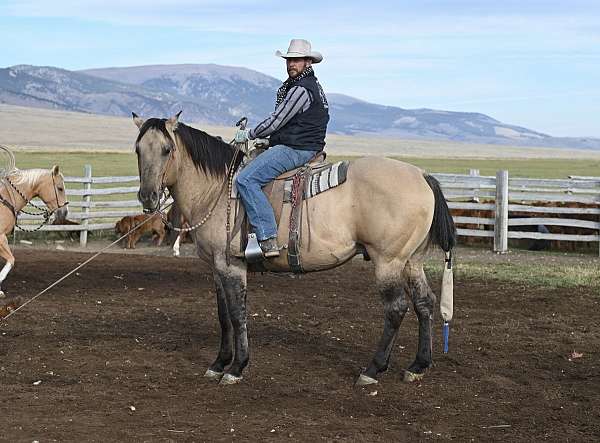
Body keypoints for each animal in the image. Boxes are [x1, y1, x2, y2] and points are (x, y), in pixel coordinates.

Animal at [134, 112, 458, 386]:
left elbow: (237, 314)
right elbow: (223, 314)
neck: (217, 189)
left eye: (166, 149)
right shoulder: (216, 266)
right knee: (424, 303)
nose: (148, 196)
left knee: (396, 308)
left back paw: (372, 370)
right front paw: (218, 363)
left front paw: (237, 367)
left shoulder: (231, 265)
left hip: (388, 261)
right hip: (411, 261)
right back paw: (418, 365)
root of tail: (422, 176)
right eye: (138, 149)